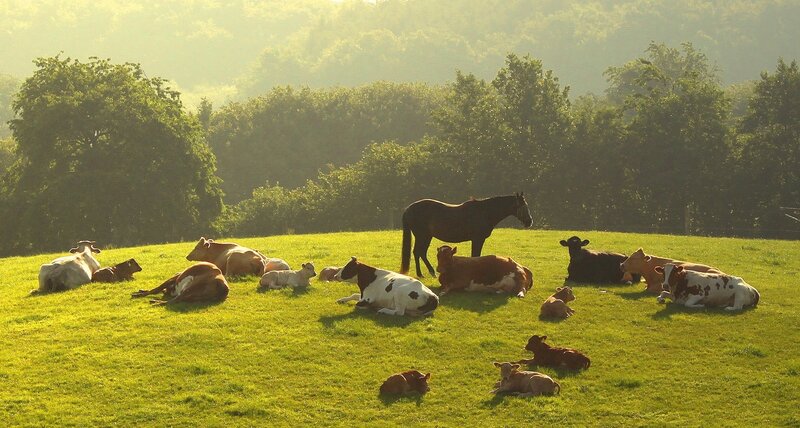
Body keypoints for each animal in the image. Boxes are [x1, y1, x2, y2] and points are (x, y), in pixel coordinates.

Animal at [400, 193, 533, 277]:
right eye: (523, 206)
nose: (529, 221)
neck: (485, 212)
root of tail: (408, 209)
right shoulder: (477, 239)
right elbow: (475, 255)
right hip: (423, 236)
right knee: (418, 252)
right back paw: (424, 273)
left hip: (425, 237)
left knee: (420, 253)